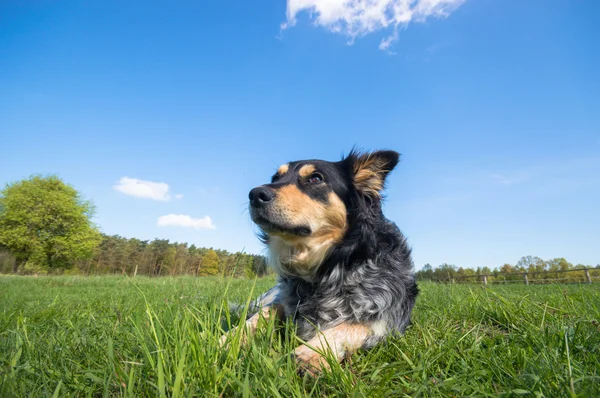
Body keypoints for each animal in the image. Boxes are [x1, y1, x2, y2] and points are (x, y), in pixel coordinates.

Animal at [220, 149, 418, 376]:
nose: (255, 194)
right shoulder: (283, 302)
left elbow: (352, 326)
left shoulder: (389, 321)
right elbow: (259, 316)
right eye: (276, 178)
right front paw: (226, 340)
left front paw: (308, 355)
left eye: (316, 178)